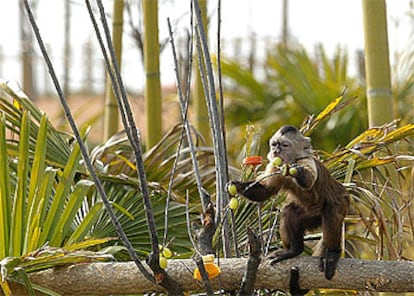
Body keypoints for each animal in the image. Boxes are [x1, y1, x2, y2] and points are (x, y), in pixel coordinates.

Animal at [228, 125, 350, 294]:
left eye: (284, 145)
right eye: (274, 144)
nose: (275, 151)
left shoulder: (306, 161)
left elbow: (307, 178)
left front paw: (297, 172)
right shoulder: (274, 166)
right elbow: (265, 192)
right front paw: (236, 185)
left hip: (342, 202)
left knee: (331, 210)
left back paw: (332, 252)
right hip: (311, 216)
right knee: (289, 212)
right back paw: (294, 250)